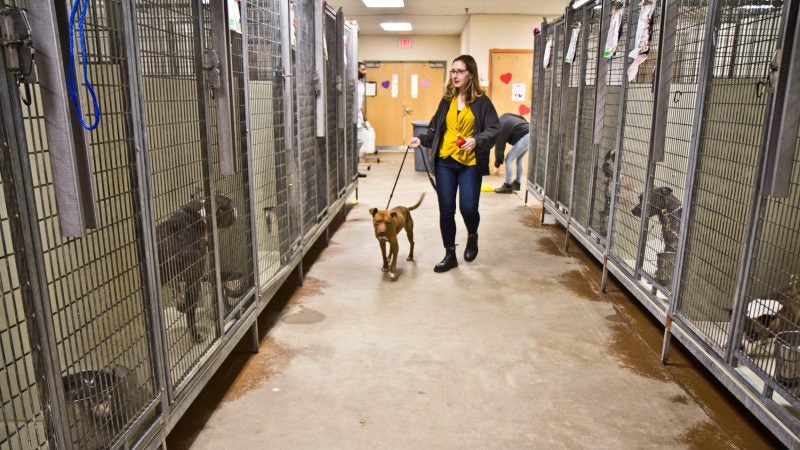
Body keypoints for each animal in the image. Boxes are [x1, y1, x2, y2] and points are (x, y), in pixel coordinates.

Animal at [156, 189, 236, 342]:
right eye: (229, 205)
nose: (236, 209)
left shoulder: (177, 280)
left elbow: (177, 294)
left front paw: (180, 305)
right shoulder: (194, 280)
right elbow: (191, 312)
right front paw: (195, 336)